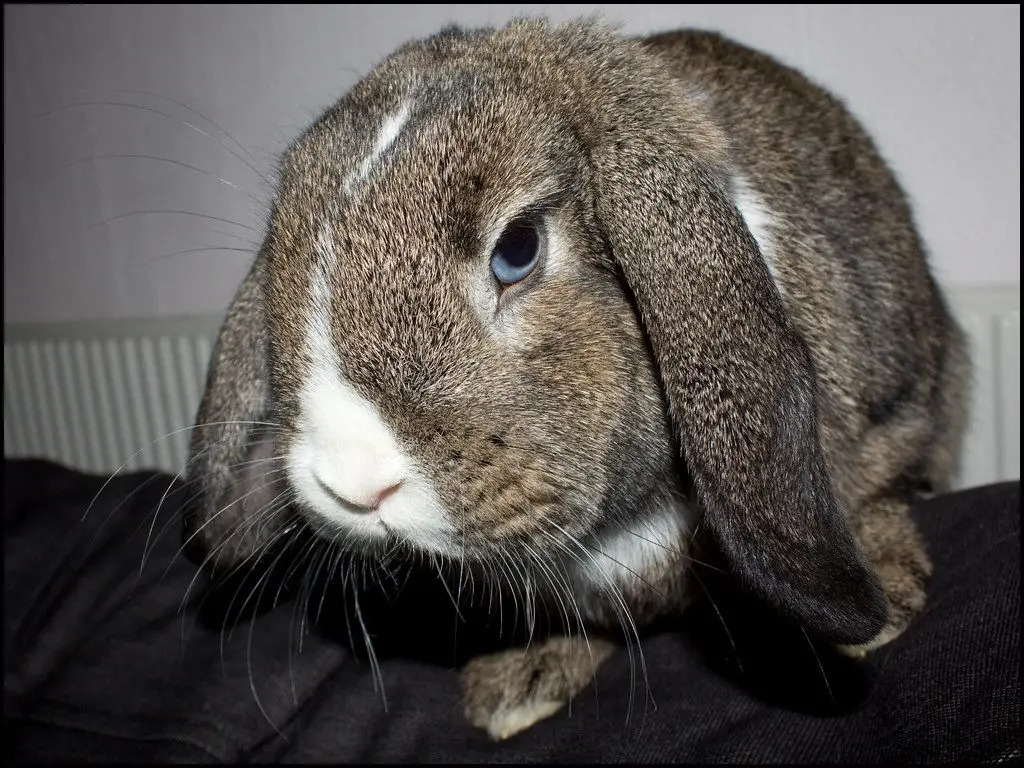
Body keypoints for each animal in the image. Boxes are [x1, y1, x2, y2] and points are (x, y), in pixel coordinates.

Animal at [182, 16, 966, 741]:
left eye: (518, 249)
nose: (352, 482)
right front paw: (517, 684)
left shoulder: (900, 418)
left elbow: (874, 494)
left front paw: (879, 609)